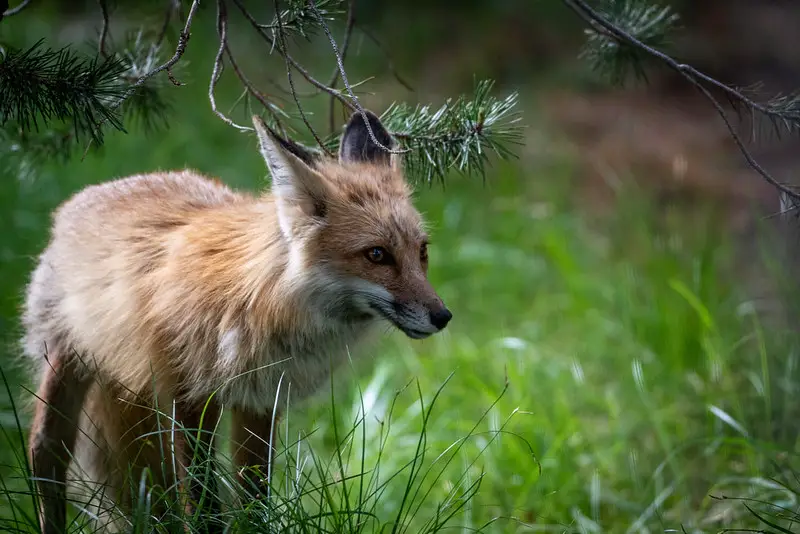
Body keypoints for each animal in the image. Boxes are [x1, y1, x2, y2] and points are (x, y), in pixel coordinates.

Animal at [21, 110, 454, 534]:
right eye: (377, 255)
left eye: (422, 251)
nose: (443, 317)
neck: (258, 302)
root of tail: (87, 195)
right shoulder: (188, 398)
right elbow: (203, 507)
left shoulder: (260, 400)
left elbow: (254, 501)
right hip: (68, 365)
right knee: (44, 453)